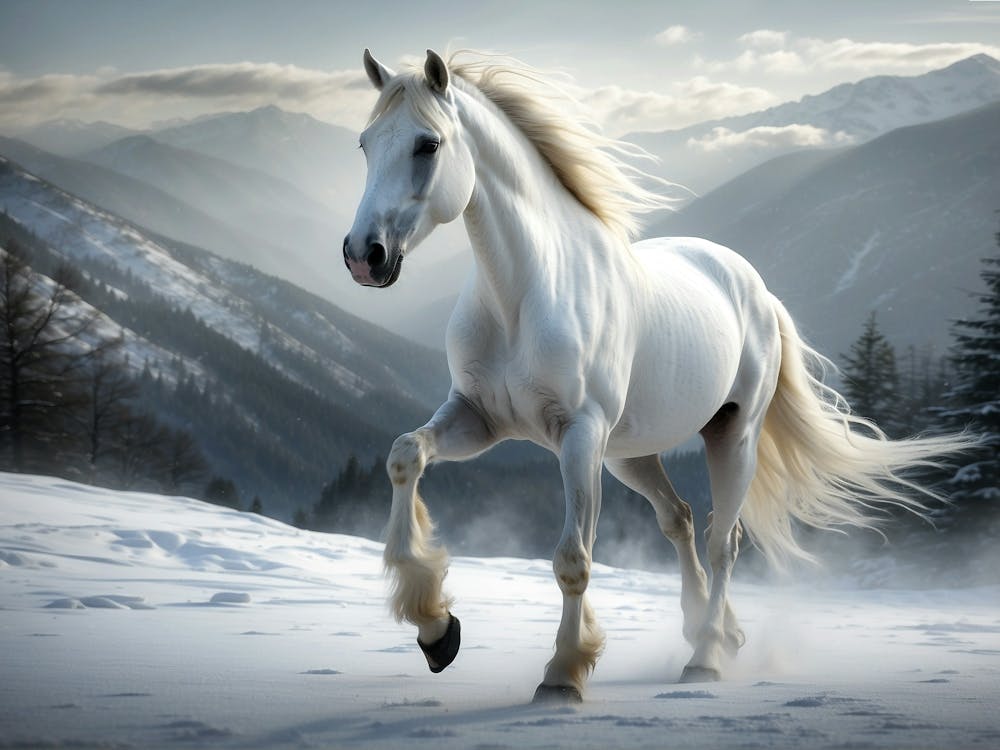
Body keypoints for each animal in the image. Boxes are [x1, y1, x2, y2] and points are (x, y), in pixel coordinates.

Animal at [342, 49, 968, 703]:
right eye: (365, 143)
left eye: (428, 144)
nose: (364, 255)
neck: (525, 296)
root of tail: (755, 287)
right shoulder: (477, 419)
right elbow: (405, 455)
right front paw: (436, 629)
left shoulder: (580, 436)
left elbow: (574, 559)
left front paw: (563, 674)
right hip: (629, 454)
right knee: (681, 520)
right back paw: (715, 633)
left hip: (729, 437)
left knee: (724, 540)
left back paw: (708, 657)